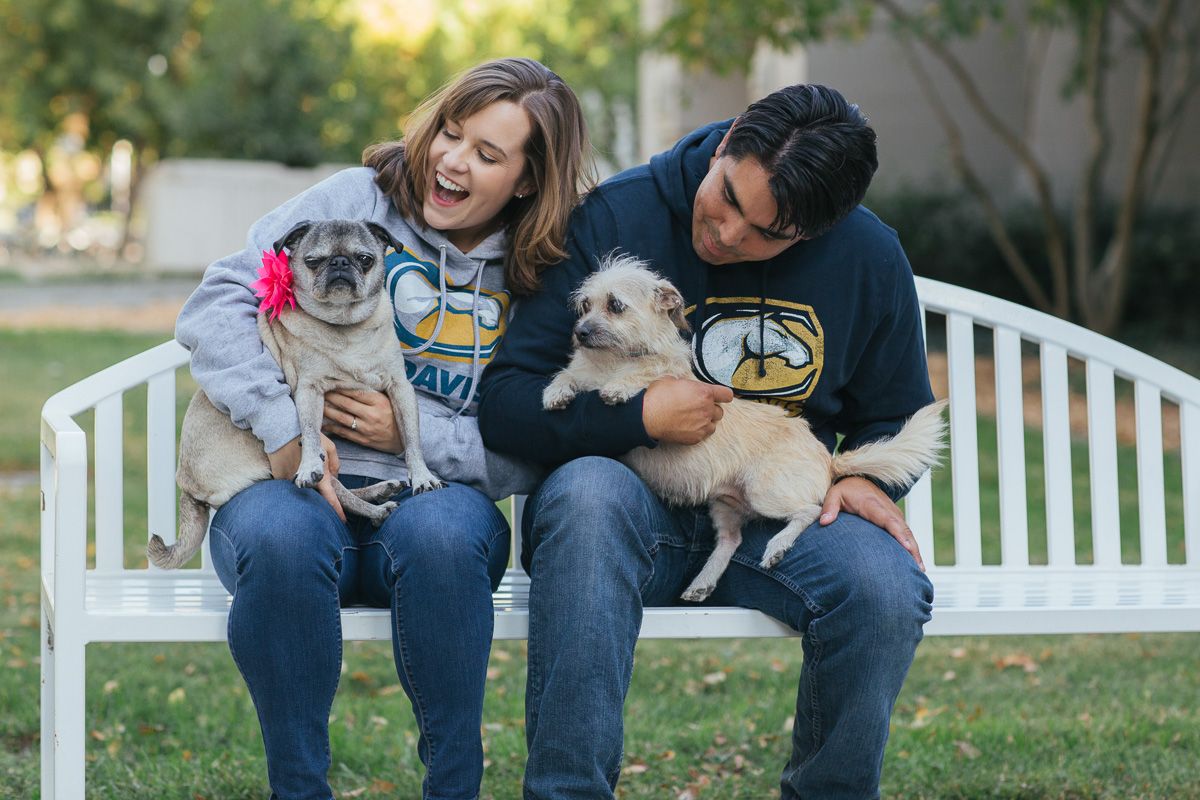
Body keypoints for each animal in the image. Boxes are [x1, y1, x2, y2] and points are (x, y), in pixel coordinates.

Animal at [544, 255, 945, 599]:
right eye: (585, 306)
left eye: (615, 305)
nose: (580, 333)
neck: (612, 361)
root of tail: (829, 460)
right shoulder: (584, 371)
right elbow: (568, 375)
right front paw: (556, 392)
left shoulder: (666, 380)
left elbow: (648, 379)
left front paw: (621, 388)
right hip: (724, 504)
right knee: (730, 541)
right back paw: (703, 582)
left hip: (764, 491)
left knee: (810, 512)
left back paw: (778, 547)